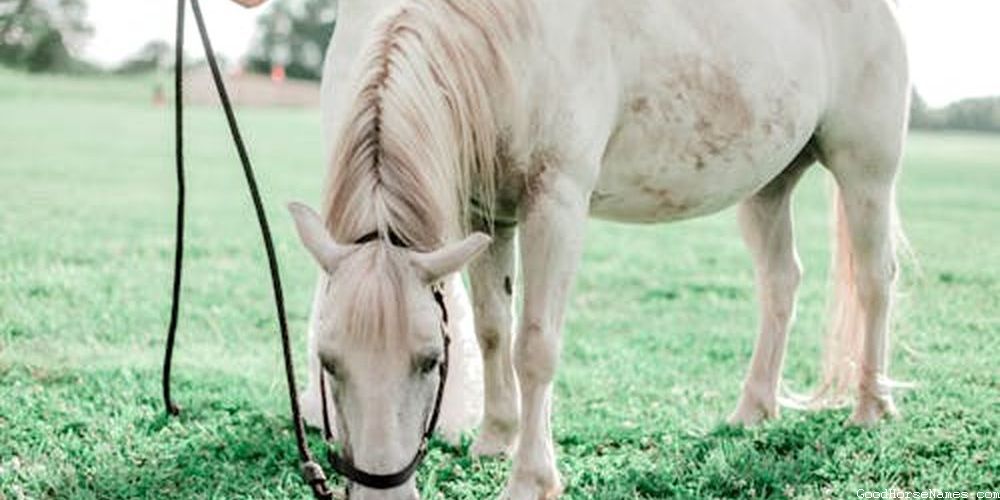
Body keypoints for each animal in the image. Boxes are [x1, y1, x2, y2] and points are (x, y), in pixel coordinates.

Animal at [285, 0, 910, 498]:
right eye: (327, 361)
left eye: (430, 362)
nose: (380, 490)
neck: (505, 38)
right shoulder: (489, 215)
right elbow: (492, 330)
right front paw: (496, 439)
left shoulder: (556, 202)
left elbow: (534, 346)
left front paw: (530, 479)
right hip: (768, 188)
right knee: (781, 283)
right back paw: (754, 409)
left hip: (866, 173)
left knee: (875, 280)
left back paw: (870, 407)